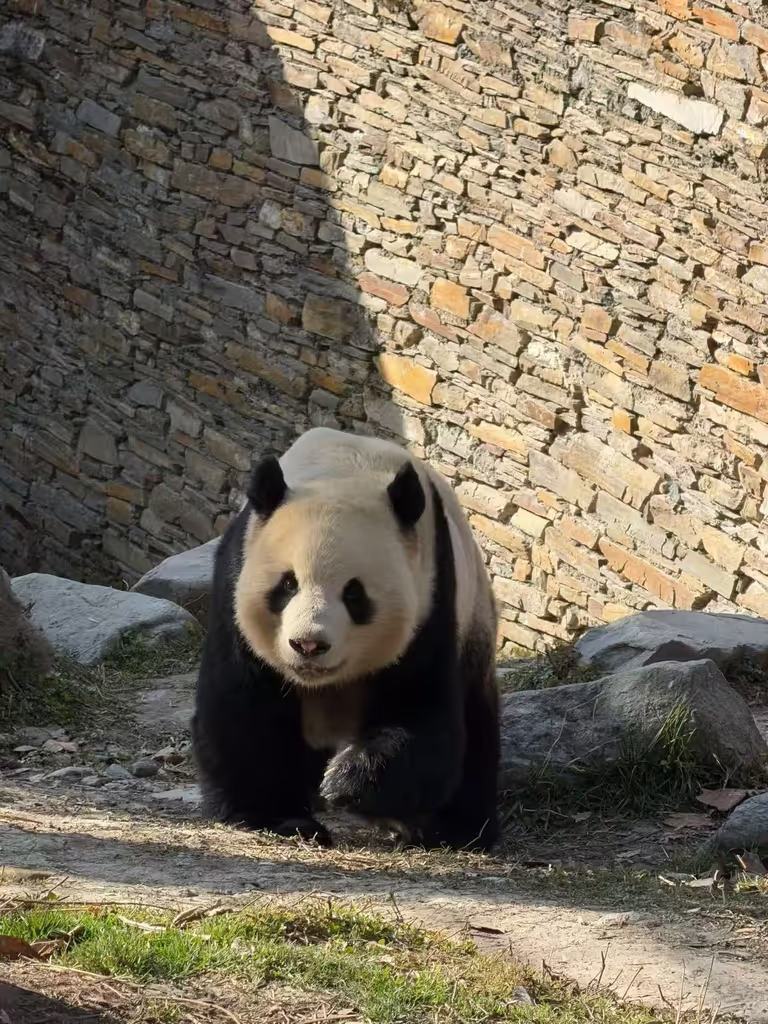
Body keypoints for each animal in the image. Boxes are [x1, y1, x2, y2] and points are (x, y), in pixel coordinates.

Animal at [192, 426, 500, 851]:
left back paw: (454, 830)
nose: (308, 645)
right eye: (288, 584)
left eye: (354, 594)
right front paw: (278, 816)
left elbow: (422, 718)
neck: (344, 468)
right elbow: (242, 708)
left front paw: (346, 782)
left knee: (476, 736)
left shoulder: (434, 600)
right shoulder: (236, 578)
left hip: (474, 625)